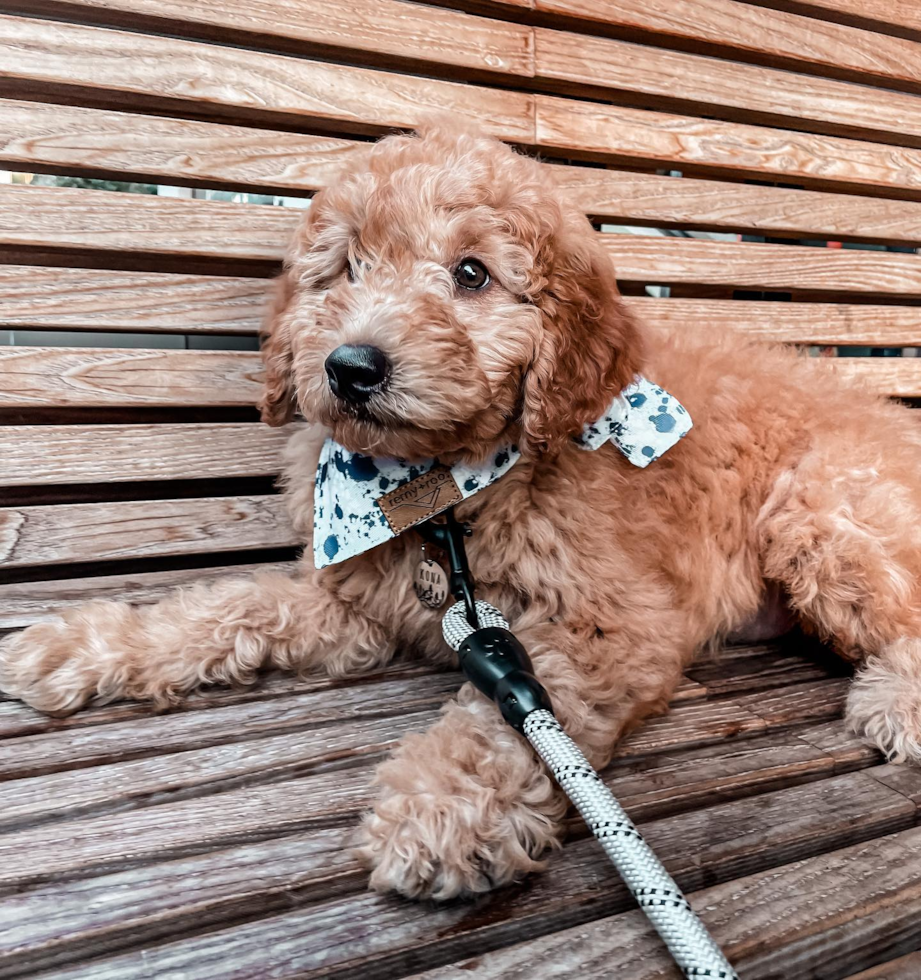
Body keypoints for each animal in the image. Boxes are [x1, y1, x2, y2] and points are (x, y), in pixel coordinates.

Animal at [1, 118, 920, 900]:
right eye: (347, 268)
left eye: (471, 274)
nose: (351, 367)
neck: (433, 494)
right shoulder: (360, 602)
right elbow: (231, 608)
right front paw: (92, 646)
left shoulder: (610, 625)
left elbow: (512, 720)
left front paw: (442, 810)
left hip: (822, 516)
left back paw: (897, 703)